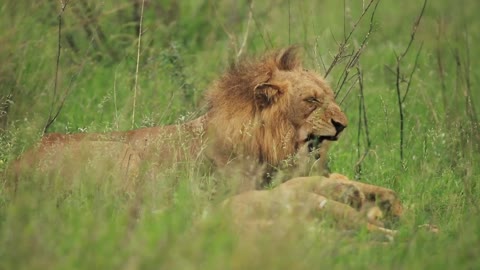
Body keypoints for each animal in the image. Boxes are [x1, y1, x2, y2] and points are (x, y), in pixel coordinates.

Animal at [7, 47, 402, 235]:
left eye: (329, 95)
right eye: (311, 100)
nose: (343, 125)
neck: (269, 142)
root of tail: (16, 165)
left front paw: (384, 199)